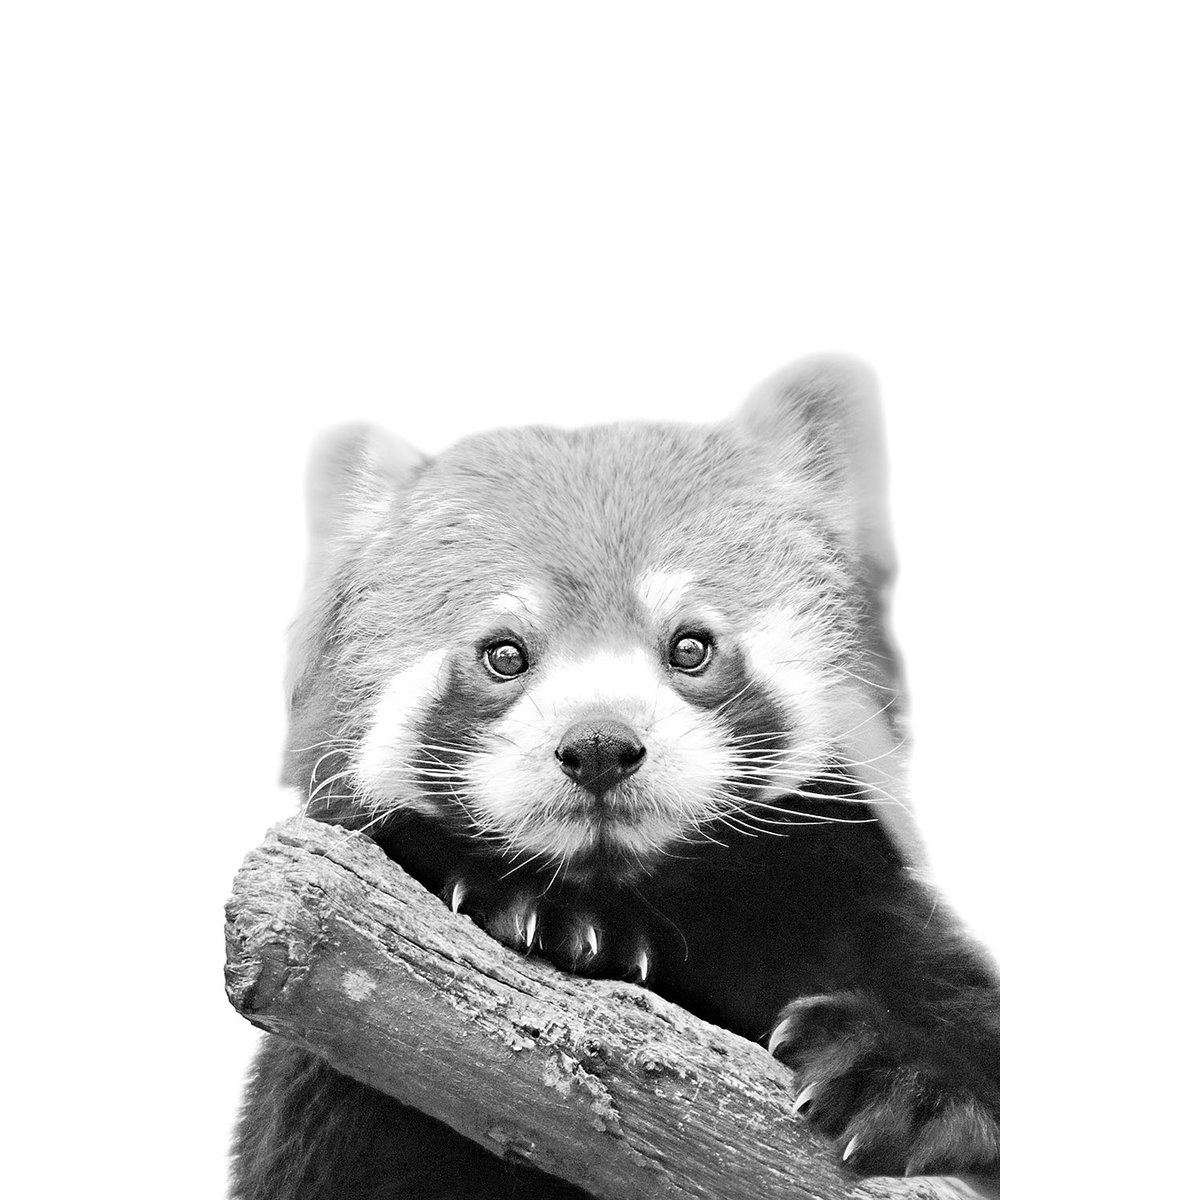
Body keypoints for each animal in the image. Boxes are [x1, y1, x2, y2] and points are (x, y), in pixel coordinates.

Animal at [231, 355, 1000, 1199]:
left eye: (690, 647)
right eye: (504, 654)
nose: (599, 743)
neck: (648, 895)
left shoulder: (837, 891)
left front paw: (910, 1076)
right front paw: (532, 910)